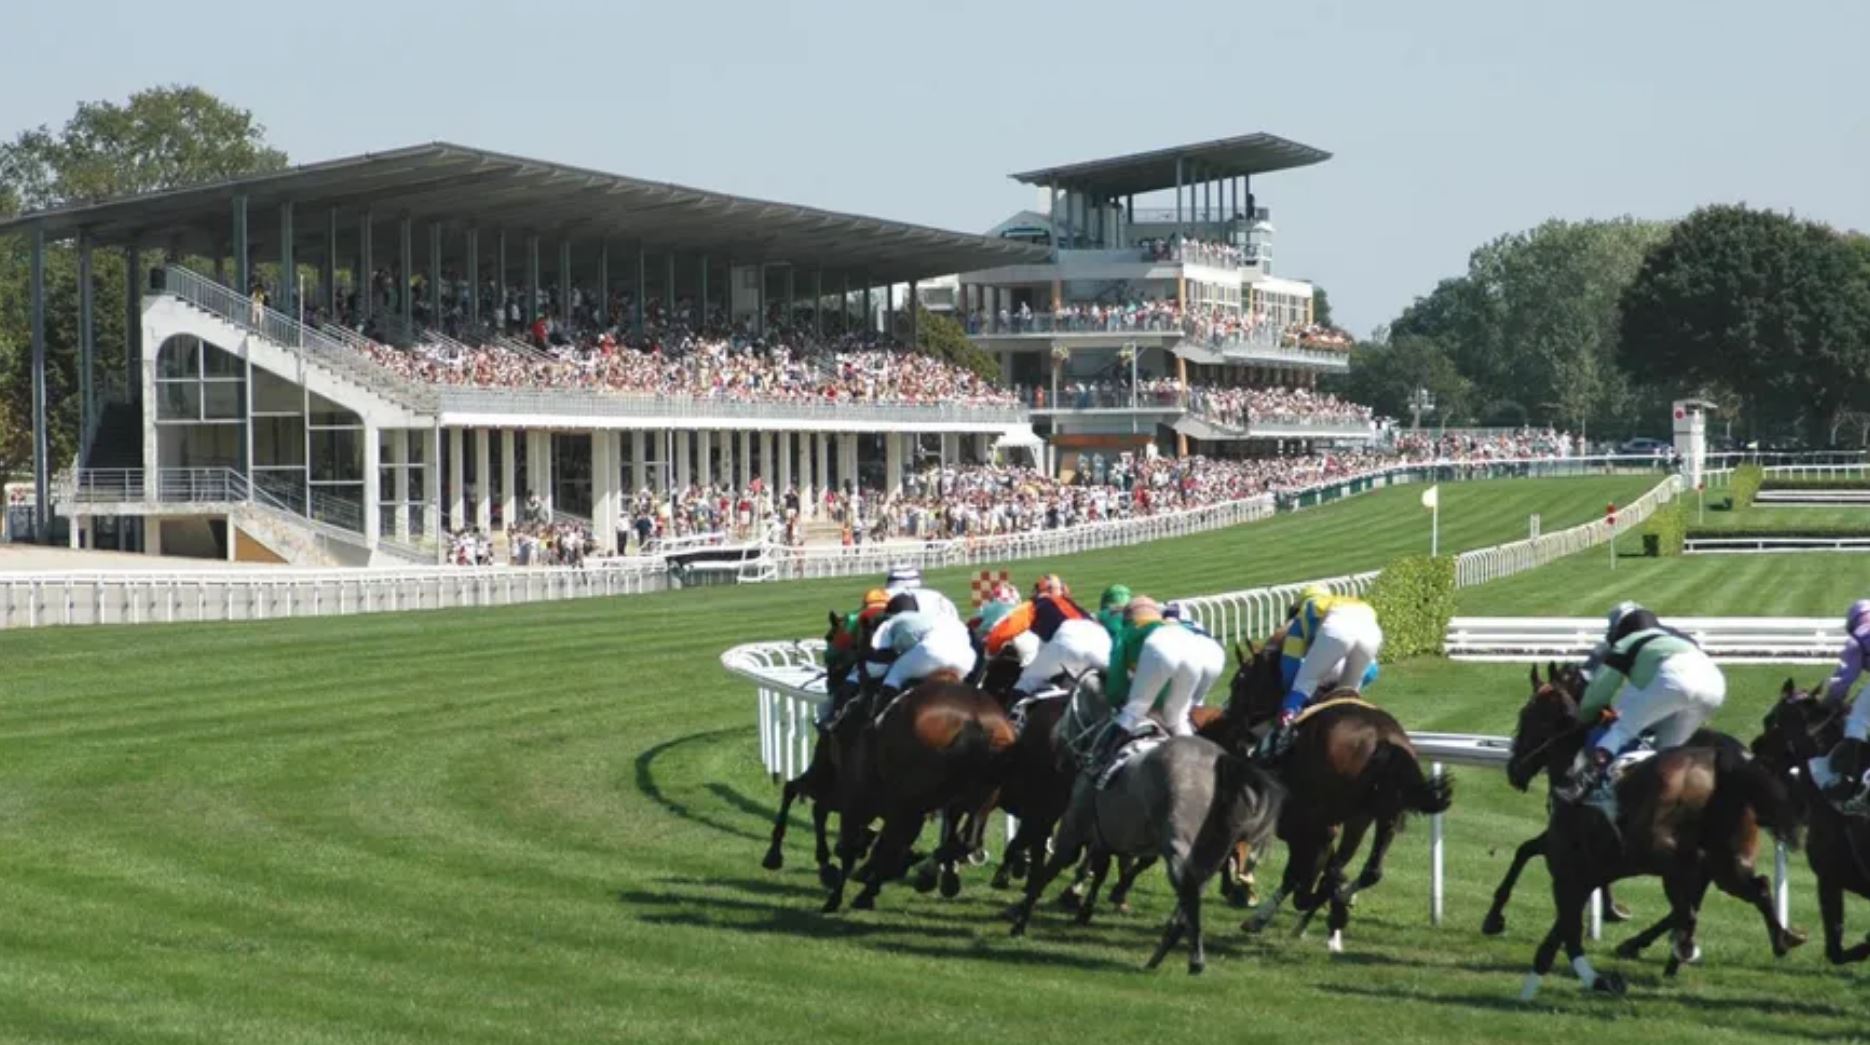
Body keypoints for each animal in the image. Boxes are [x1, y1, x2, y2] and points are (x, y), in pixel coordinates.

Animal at [1009, 684, 1286, 979]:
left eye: (1068, 709)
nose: (1057, 746)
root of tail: (1220, 763)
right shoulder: (1106, 836)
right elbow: (1101, 868)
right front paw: (1086, 905)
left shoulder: (1073, 830)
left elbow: (1048, 873)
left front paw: (1020, 920)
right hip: (1210, 853)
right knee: (1192, 892)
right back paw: (1164, 951)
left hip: (1179, 846)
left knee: (1188, 891)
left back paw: (1193, 957)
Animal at [1219, 643, 1451, 953]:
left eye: (1239, 682)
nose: (1230, 724)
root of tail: (1383, 740)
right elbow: (1322, 870)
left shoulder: (1299, 823)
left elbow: (1299, 872)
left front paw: (1260, 915)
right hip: (1379, 816)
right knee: (1370, 871)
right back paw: (1337, 905)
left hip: (1334, 815)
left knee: (1324, 868)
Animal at [1510, 665, 1802, 1002]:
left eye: (1529, 716)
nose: (1513, 768)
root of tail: (1724, 760)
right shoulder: (1591, 868)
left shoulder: (1572, 866)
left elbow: (1559, 915)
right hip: (1728, 859)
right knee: (1754, 886)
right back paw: (1777, 940)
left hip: (1668, 854)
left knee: (1691, 892)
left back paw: (1673, 944)